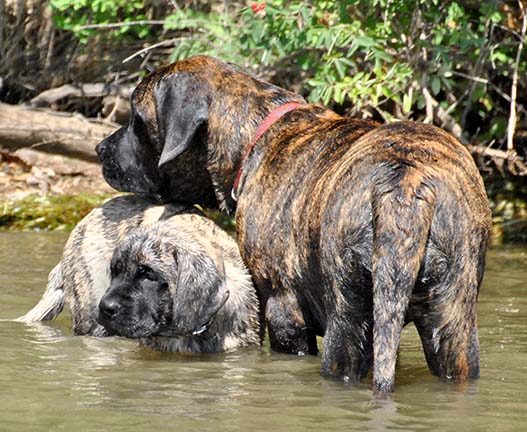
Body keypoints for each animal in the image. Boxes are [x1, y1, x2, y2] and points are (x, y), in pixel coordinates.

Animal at [96, 55, 496, 394]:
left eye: (136, 120)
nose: (100, 149)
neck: (254, 137)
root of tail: (405, 183)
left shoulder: (283, 311)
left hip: (348, 322)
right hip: (451, 322)